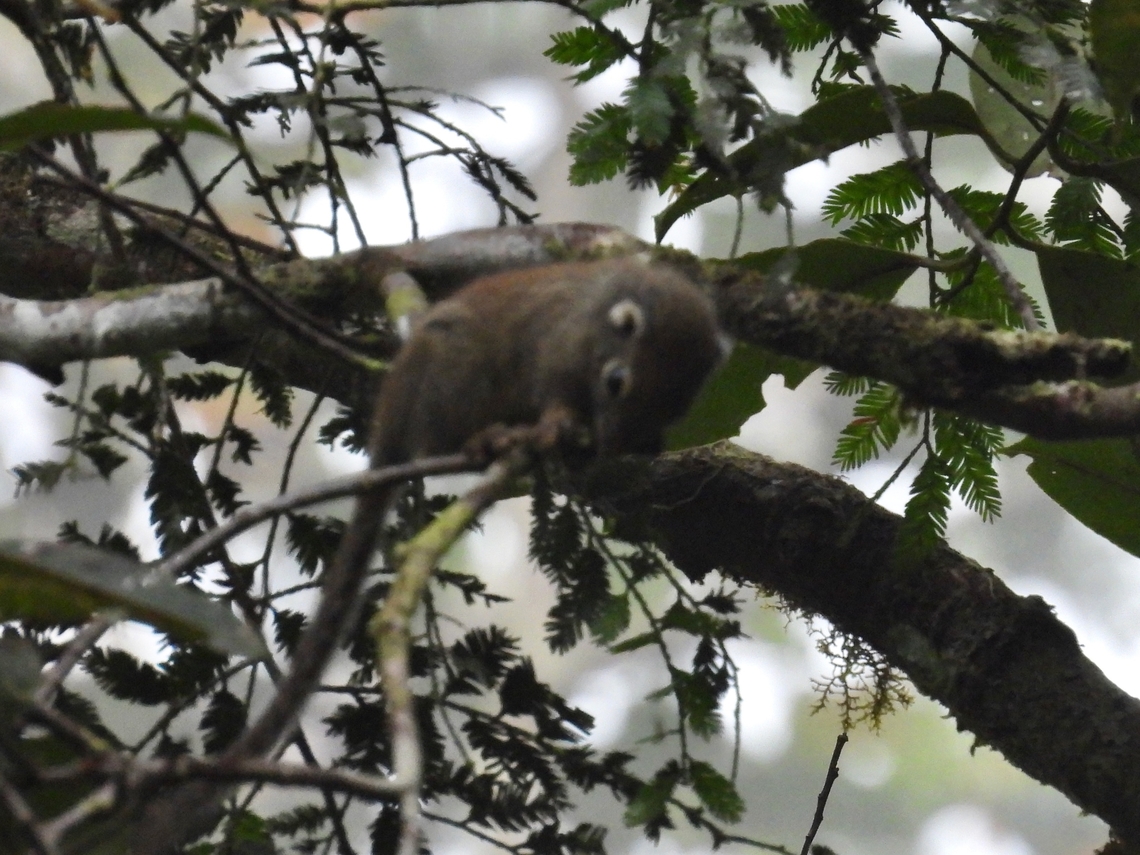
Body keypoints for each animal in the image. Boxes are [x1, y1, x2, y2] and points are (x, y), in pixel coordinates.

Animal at [368, 259, 724, 465]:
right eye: (615, 383)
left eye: (670, 414)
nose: (610, 450)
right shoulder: (560, 348)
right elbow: (556, 392)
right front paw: (558, 422)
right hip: (455, 380)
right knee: (433, 446)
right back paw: (480, 440)